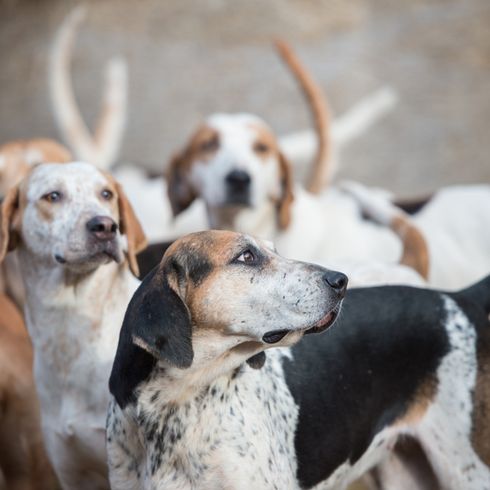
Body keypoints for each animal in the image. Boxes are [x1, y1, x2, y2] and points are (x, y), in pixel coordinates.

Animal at [106, 231, 490, 490]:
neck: (177, 405)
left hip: (467, 470)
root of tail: (457, 299)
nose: (340, 280)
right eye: (246, 256)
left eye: (275, 250)